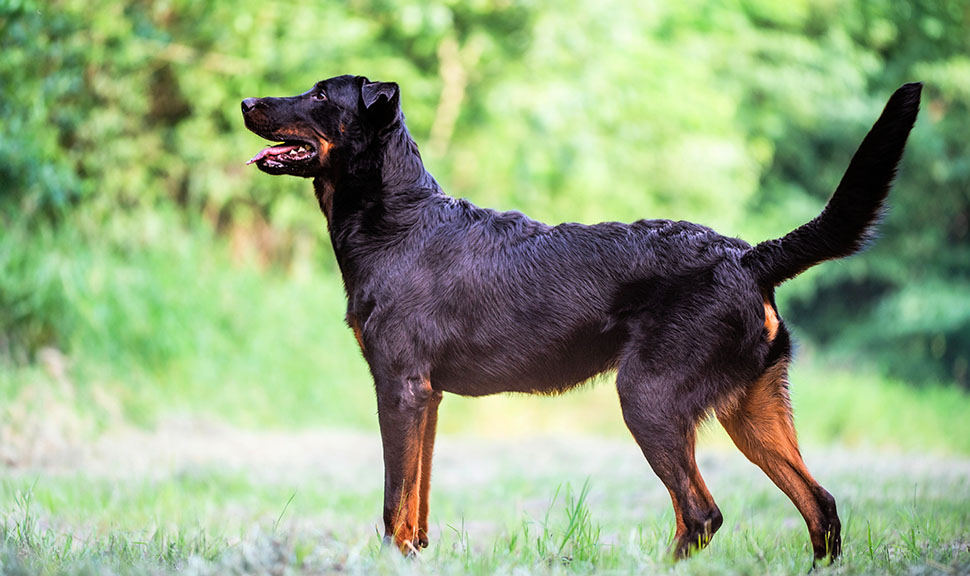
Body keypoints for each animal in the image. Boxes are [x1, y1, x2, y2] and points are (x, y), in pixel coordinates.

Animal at [240, 76, 916, 564]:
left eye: (320, 95)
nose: (246, 101)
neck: (396, 221)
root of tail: (749, 258)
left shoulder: (400, 388)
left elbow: (393, 502)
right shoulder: (427, 398)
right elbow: (418, 504)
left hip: (650, 398)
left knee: (701, 514)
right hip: (752, 409)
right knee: (819, 505)